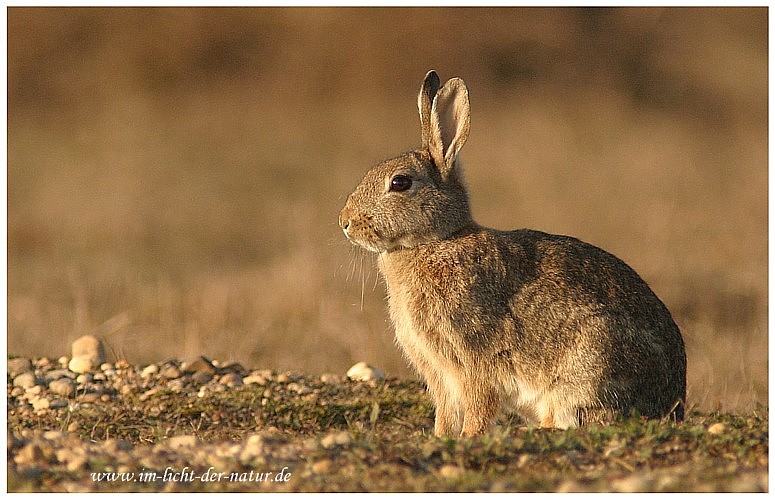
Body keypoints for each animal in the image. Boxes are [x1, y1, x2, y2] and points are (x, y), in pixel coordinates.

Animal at [338, 70, 684, 438]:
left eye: (400, 183)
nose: (345, 222)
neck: (436, 241)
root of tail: (673, 402)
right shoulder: (439, 372)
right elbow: (445, 412)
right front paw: (441, 437)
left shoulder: (474, 359)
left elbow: (479, 405)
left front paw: (469, 437)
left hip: (588, 367)